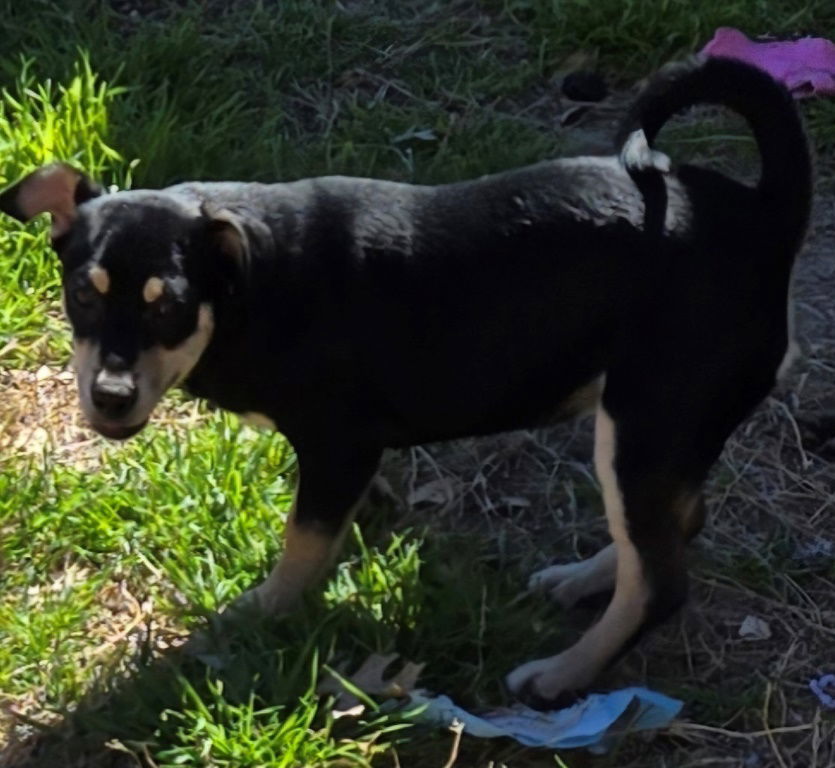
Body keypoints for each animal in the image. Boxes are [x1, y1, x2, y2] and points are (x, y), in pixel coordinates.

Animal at [0, 57, 808, 708]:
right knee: (674, 526)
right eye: (82, 297)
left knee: (661, 579)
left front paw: (256, 614)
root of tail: (766, 216)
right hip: (665, 431)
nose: (109, 396)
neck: (242, 285)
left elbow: (301, 545)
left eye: (166, 306)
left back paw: (560, 675)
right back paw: (584, 579)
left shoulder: (338, 448)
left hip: (643, 422)